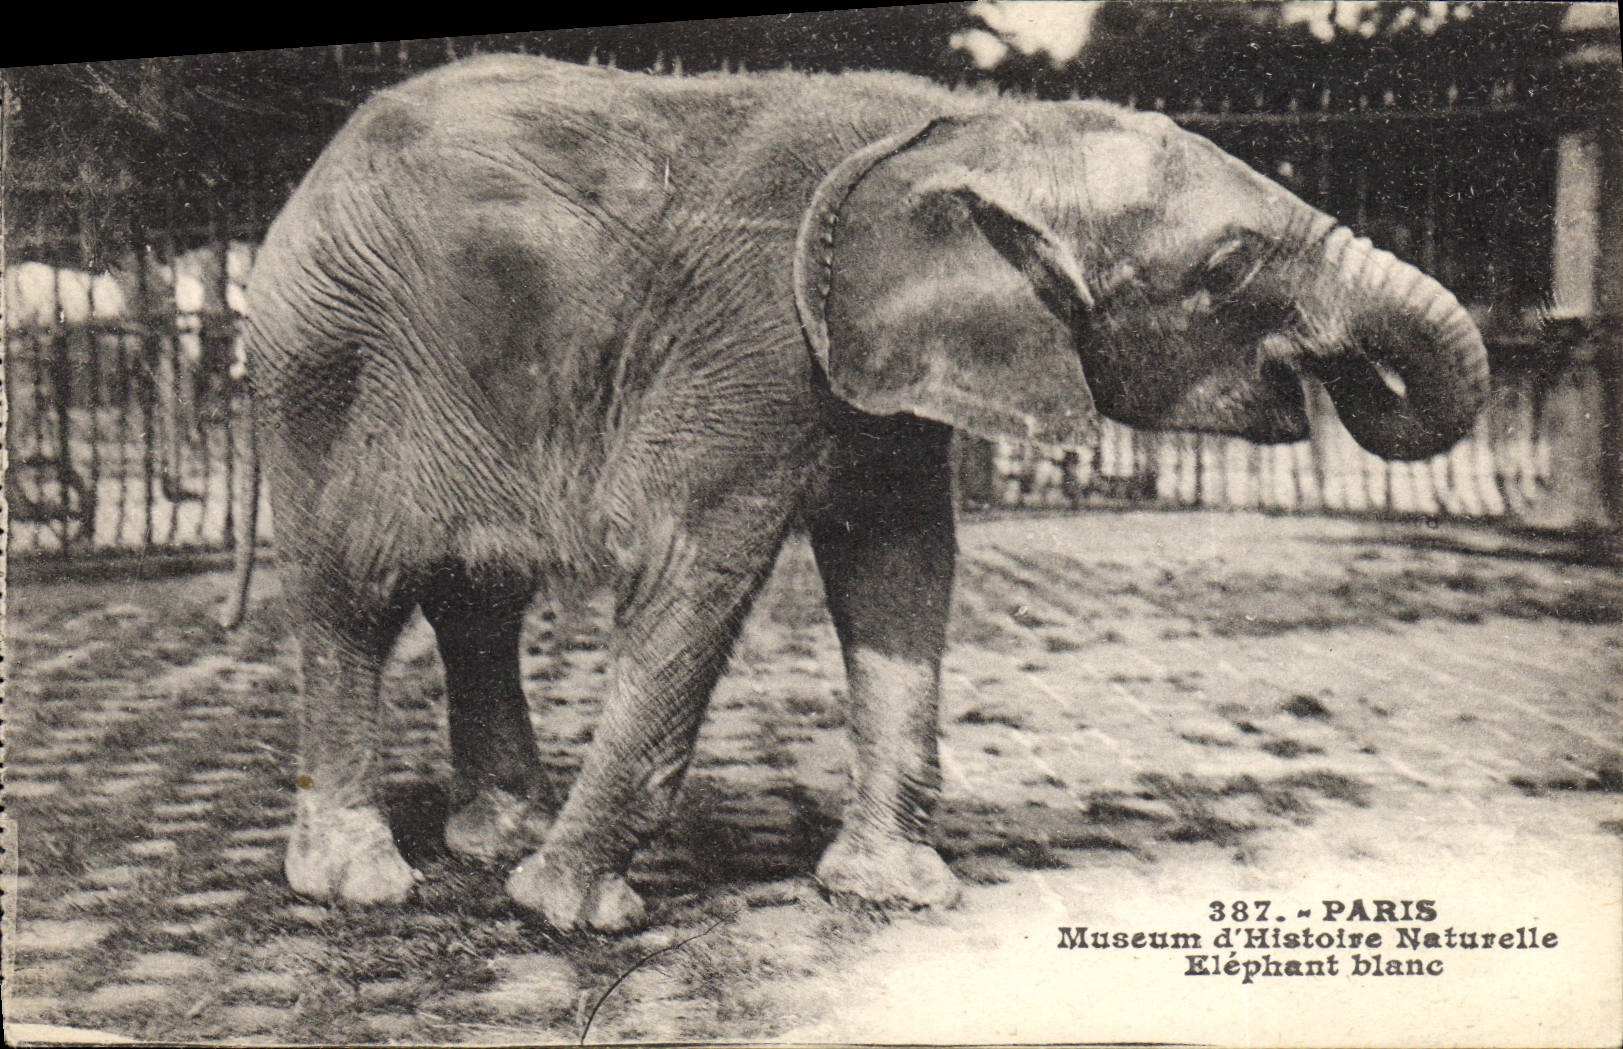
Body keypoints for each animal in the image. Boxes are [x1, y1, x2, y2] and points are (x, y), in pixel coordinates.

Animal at [239, 54, 1488, 932]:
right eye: (1228, 267)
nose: (1338, 380)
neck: (962, 126)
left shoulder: (882, 363)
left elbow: (900, 566)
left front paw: (891, 892)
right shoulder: (752, 336)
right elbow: (693, 565)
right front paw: (571, 914)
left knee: (478, 592)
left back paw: (497, 835)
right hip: (328, 365)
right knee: (359, 587)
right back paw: (362, 879)